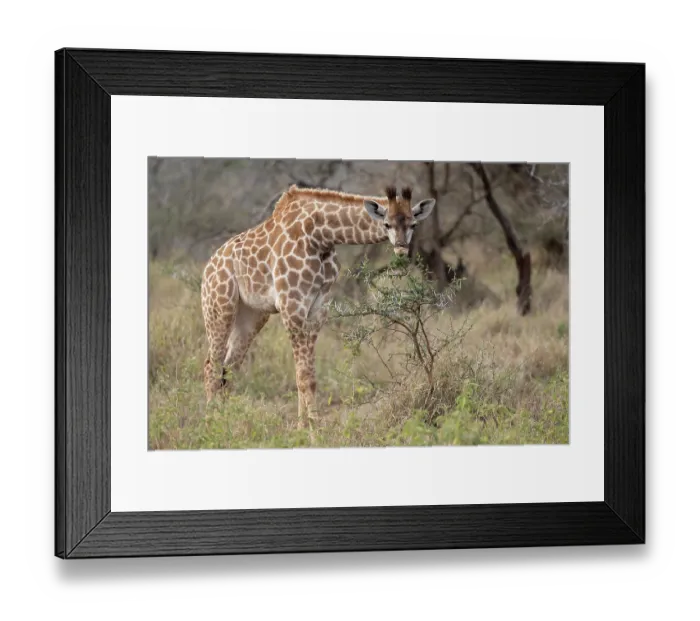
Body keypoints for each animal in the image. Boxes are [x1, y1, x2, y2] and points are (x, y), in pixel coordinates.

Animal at [200, 184, 436, 428]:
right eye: (386, 224)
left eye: (413, 224)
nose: (401, 250)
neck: (321, 235)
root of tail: (208, 267)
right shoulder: (291, 305)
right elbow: (303, 376)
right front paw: (315, 431)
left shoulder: (318, 308)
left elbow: (308, 376)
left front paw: (302, 429)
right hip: (219, 307)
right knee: (211, 365)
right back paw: (211, 425)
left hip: (252, 315)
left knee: (229, 369)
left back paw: (227, 423)